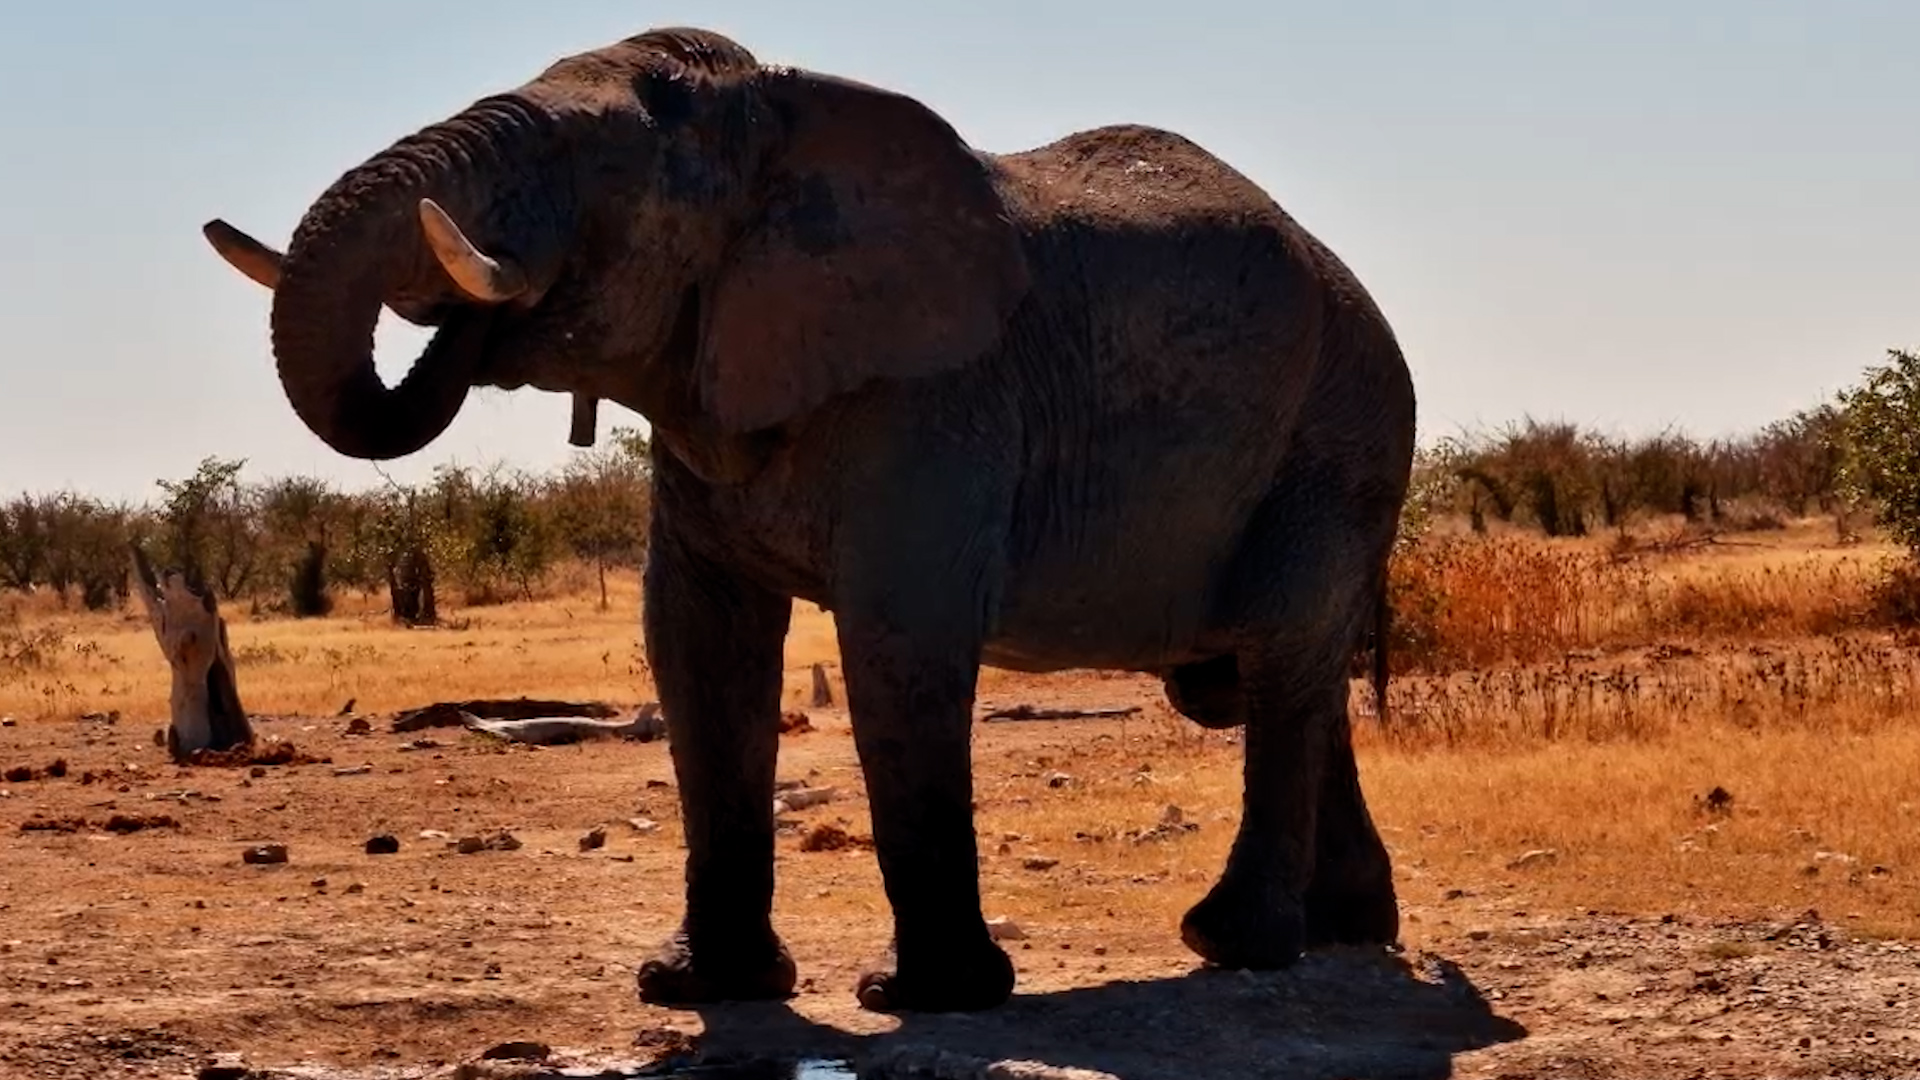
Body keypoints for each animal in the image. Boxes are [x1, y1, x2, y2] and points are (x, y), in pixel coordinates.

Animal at [201, 26, 1417, 1014]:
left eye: (609, 164)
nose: (472, 307)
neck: (782, 119)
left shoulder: (938, 399)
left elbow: (898, 642)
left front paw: (924, 1000)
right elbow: (699, 644)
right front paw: (697, 989)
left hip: (1341, 436)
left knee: (1279, 657)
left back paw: (1234, 944)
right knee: (1288, 673)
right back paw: (1345, 930)